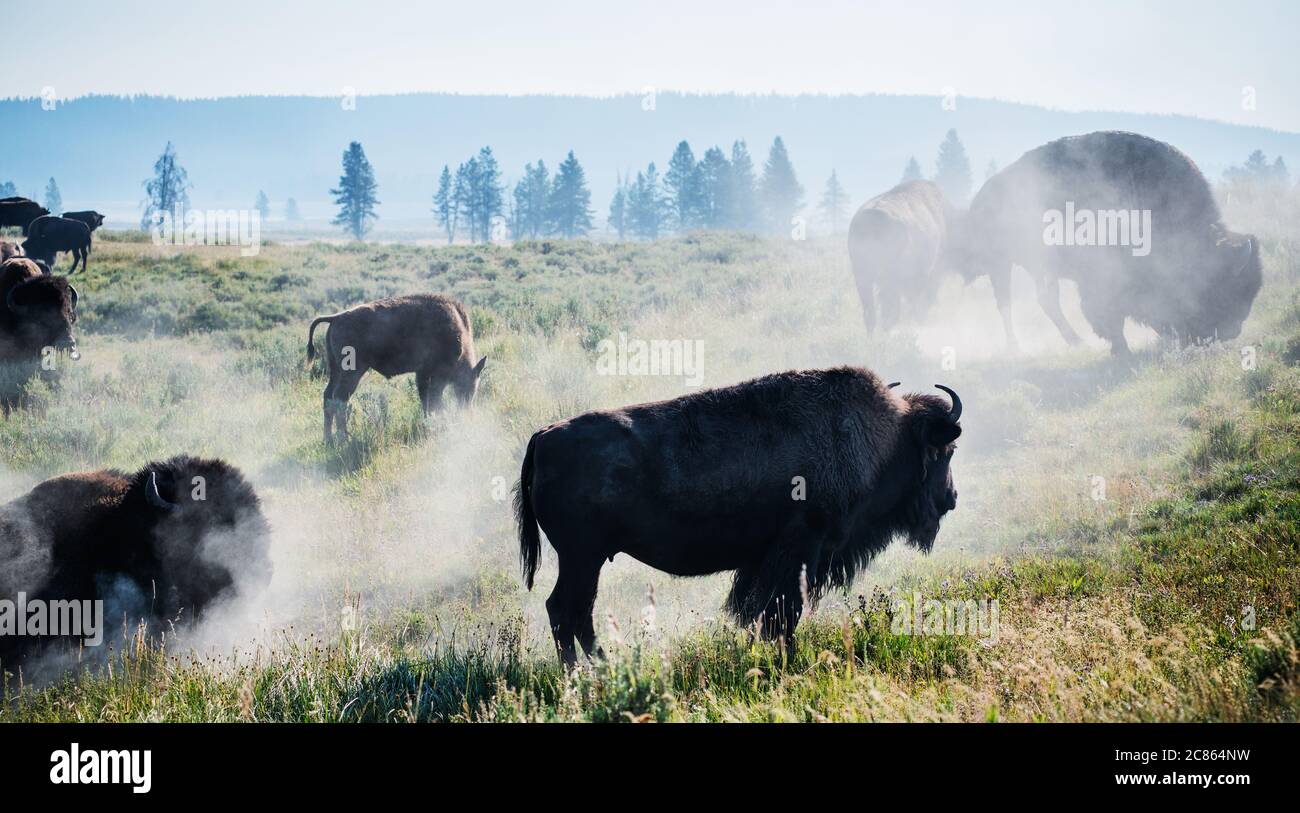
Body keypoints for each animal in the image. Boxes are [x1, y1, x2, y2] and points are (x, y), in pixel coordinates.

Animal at [305, 291, 488, 439]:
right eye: (469, 386)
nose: (467, 412)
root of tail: (336, 317)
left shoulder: (422, 374)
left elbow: (425, 399)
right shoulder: (435, 375)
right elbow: (434, 399)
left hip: (335, 370)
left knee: (328, 396)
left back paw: (328, 440)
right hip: (351, 372)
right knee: (339, 399)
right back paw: (344, 438)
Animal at [517, 366, 967, 666]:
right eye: (947, 449)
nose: (951, 498)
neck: (884, 440)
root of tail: (544, 436)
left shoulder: (766, 562)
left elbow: (761, 611)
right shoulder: (801, 550)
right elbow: (783, 612)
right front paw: (786, 657)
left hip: (585, 560)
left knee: (576, 612)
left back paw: (602, 667)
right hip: (581, 558)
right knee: (566, 610)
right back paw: (588, 673)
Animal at [951, 130, 1263, 351]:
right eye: (1222, 290)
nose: (1232, 331)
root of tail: (983, 195)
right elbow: (1108, 313)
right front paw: (1120, 348)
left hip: (1035, 267)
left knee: (1045, 299)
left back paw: (1075, 342)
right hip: (1001, 264)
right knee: (1006, 304)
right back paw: (1018, 347)